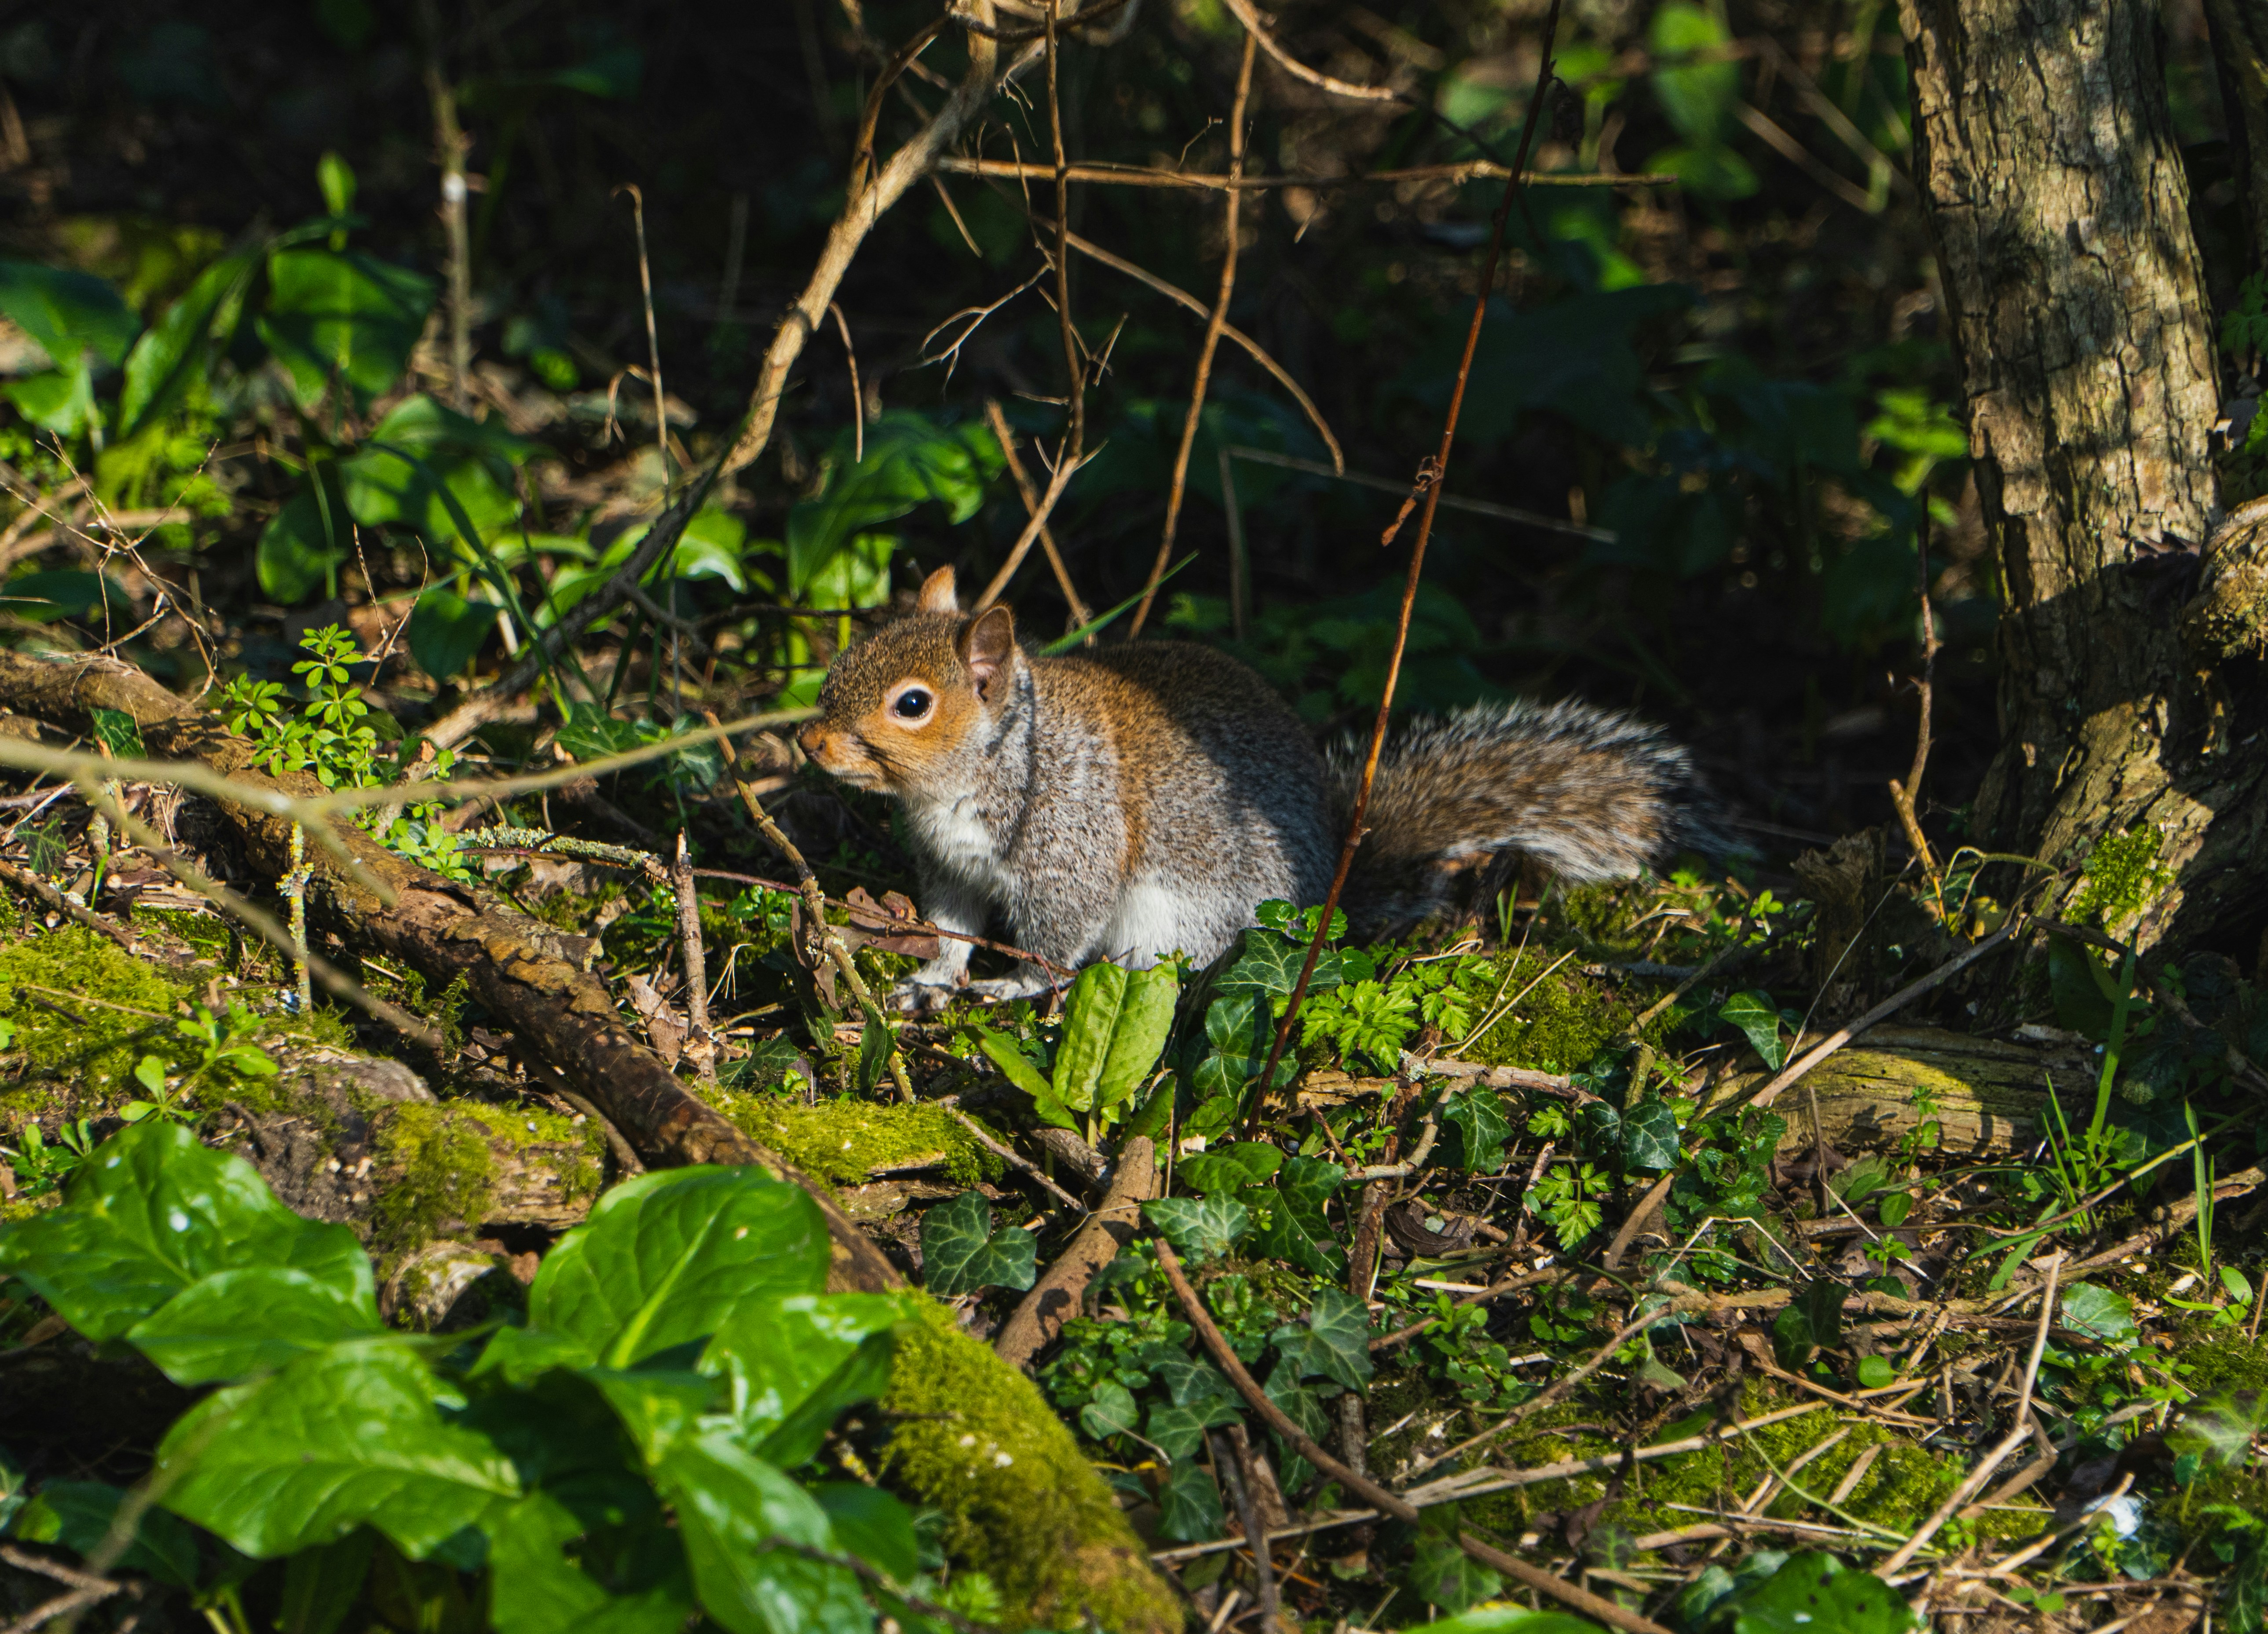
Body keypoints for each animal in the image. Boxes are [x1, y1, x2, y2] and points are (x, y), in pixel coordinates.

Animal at [797, 566, 1710, 1007]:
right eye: (852, 653)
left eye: (913, 705)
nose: (809, 741)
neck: (979, 771)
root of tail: (1326, 895)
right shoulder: (951, 867)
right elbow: (952, 925)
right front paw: (933, 980)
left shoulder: (1070, 841)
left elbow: (1056, 940)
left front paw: (1010, 985)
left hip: (1178, 924)